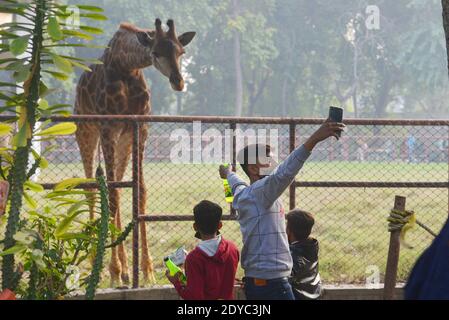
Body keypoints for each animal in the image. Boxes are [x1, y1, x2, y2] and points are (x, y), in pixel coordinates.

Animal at [74, 18, 195, 286]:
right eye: (156, 52)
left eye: (181, 51)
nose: (179, 82)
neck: (126, 66)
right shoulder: (108, 128)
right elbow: (110, 193)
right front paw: (114, 272)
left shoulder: (139, 127)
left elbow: (138, 191)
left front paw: (147, 271)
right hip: (85, 131)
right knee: (91, 188)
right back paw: (95, 262)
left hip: (122, 141)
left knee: (118, 186)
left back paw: (128, 269)